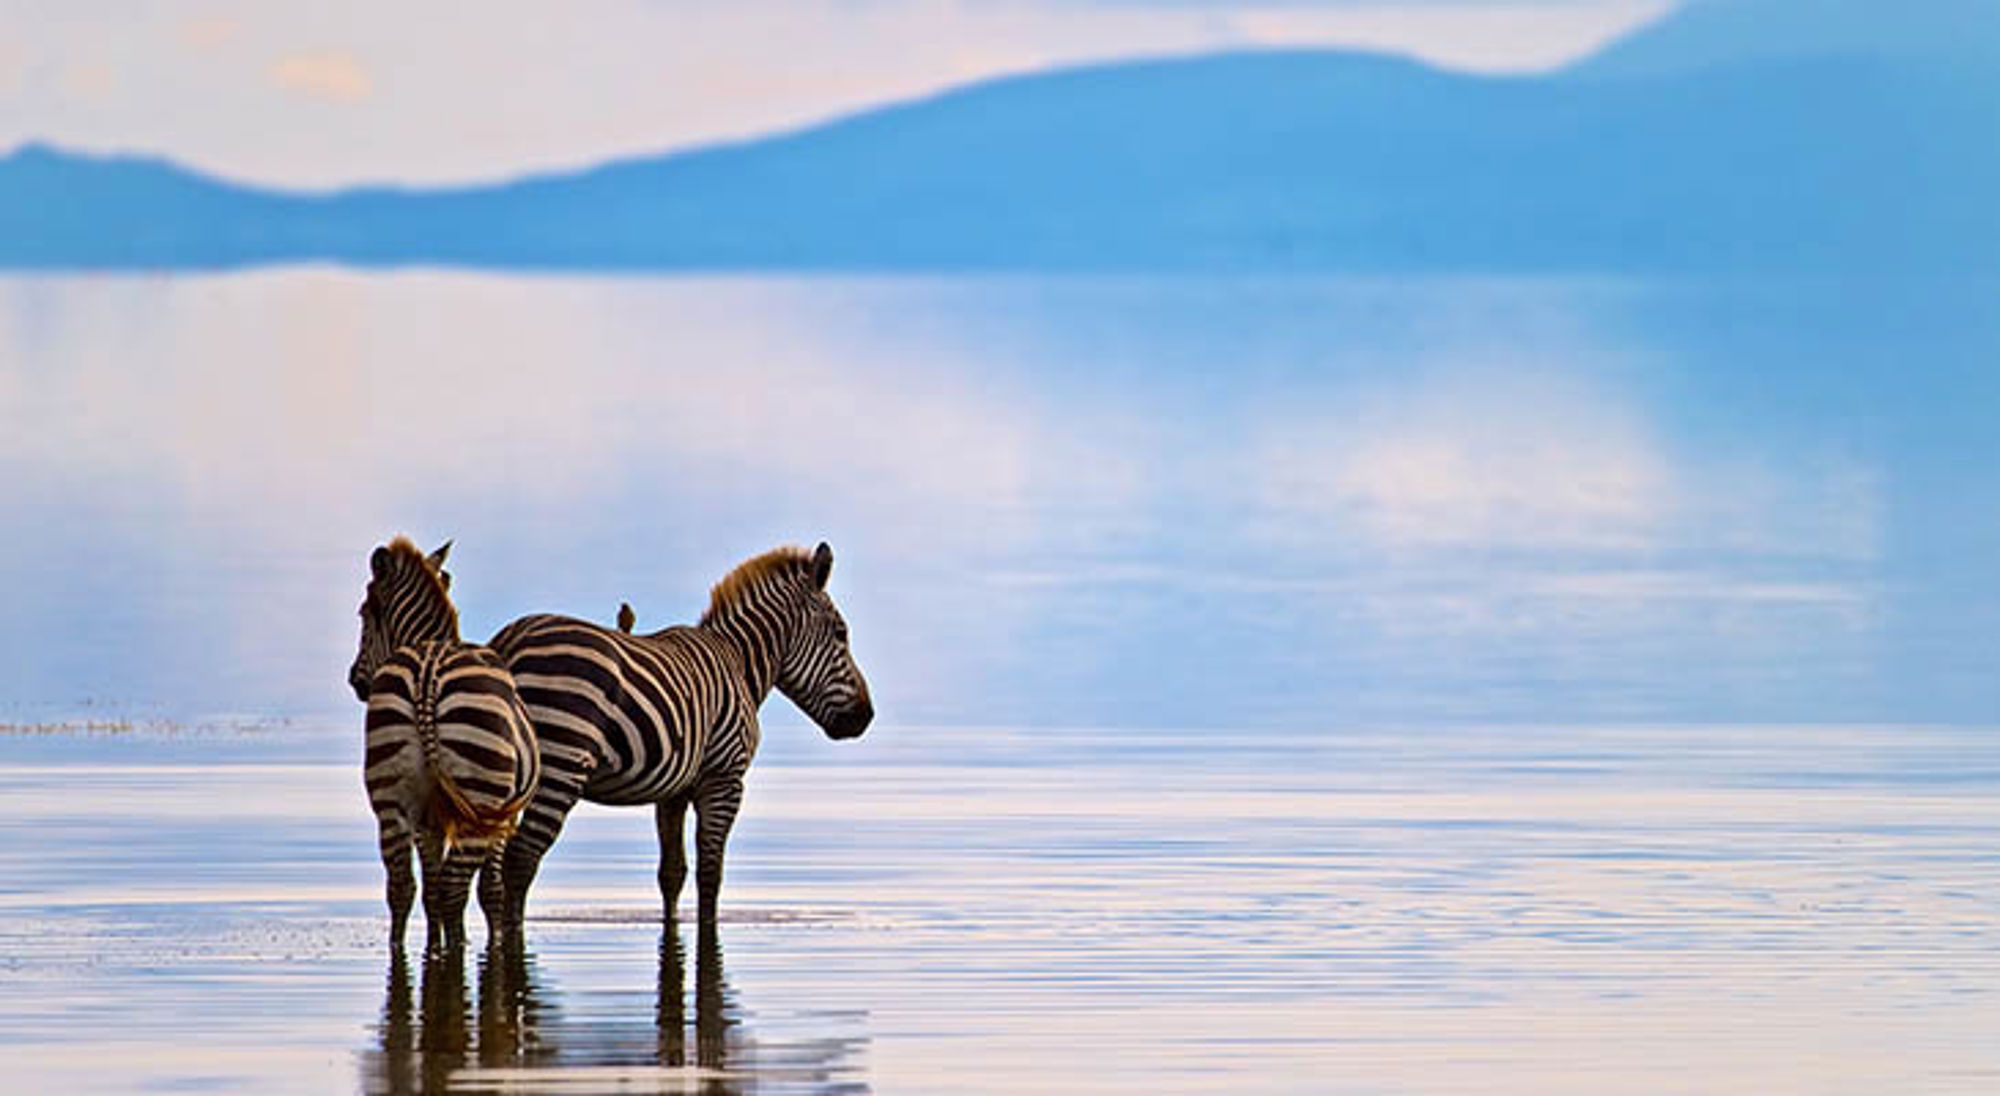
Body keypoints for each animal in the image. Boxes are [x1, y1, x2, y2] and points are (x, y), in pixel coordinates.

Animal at [348, 537, 541, 952]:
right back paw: (457, 949)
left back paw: (405, 948)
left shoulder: (427, 820)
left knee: (402, 887)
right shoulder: (503, 817)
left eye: (363, 614)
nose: (354, 681)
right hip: (481, 797)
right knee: (455, 888)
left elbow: (430, 889)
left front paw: (433, 943)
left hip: (390, 797)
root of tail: (427, 675)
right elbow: (489, 890)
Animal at [482, 541, 872, 934]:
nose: (866, 717)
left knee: (491, 876)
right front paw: (707, 925)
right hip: (560, 762)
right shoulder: (724, 779)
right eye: (841, 634)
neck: (739, 662)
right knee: (521, 860)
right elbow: (710, 873)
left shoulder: (673, 790)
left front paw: (670, 923)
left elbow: (672, 873)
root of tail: (509, 641)